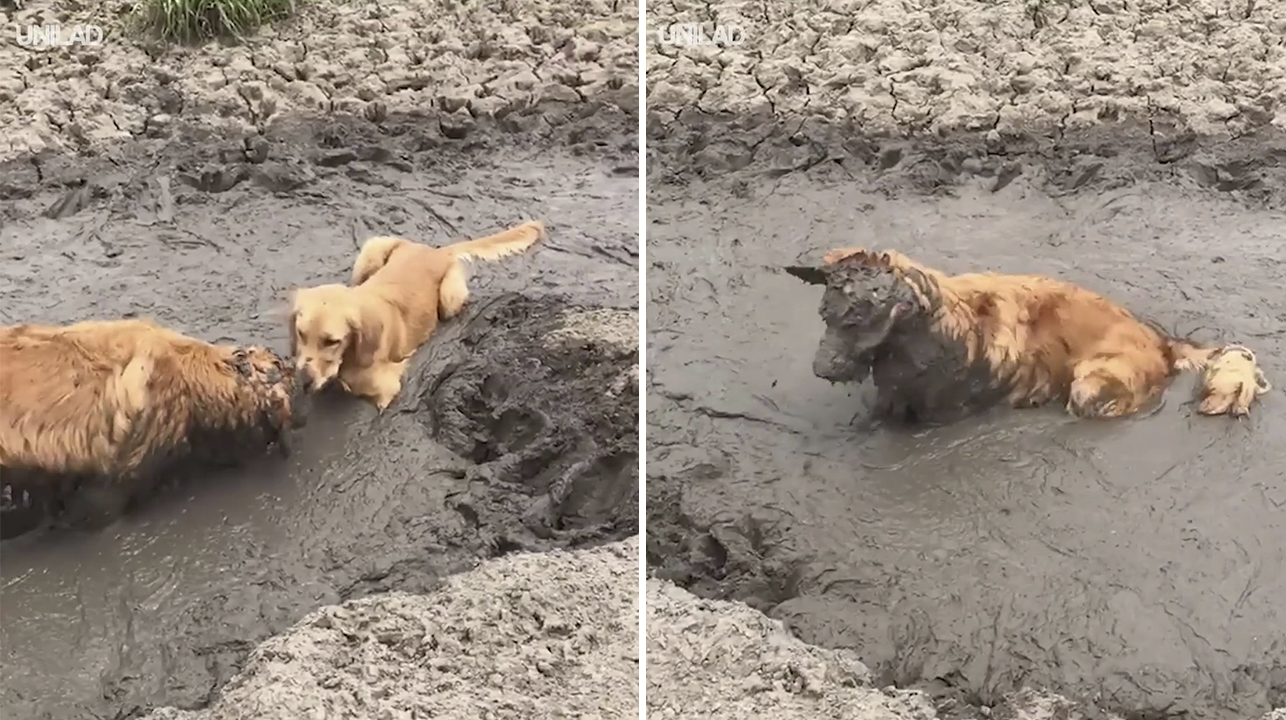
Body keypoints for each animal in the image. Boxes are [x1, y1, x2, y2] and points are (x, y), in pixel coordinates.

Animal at [294, 219, 545, 411]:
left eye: (332, 341)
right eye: (300, 334)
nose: (303, 381)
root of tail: (436, 251)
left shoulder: (387, 389)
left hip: (448, 296)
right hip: (372, 250)